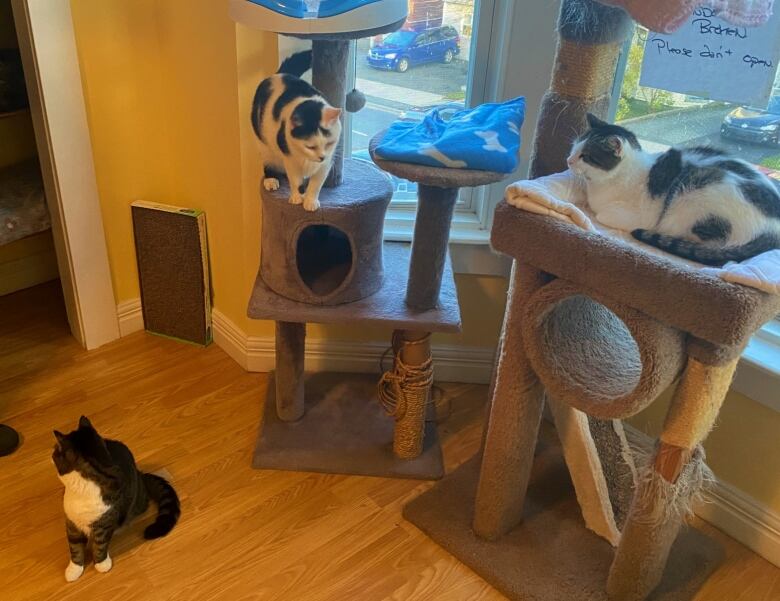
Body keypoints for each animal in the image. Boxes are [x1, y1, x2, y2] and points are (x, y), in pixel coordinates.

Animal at [53, 414, 180, 580]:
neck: (82, 489)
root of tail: (140, 474)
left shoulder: (105, 523)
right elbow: (75, 547)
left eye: (55, 453)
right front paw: (74, 570)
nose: (52, 453)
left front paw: (101, 564)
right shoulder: (72, 521)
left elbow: (100, 545)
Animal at [251, 50, 342, 212]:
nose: (322, 157)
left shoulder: (326, 164)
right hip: (264, 146)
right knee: (268, 162)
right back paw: (271, 180)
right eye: (310, 146)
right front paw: (296, 198)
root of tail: (280, 74)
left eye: (329, 144)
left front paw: (310, 201)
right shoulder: (290, 158)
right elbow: (295, 180)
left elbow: (316, 184)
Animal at [568, 113, 780, 264]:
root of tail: (773, 231)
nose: (568, 160)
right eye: (574, 147)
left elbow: (600, 214)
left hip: (697, 196)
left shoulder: (637, 216)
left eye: (585, 156)